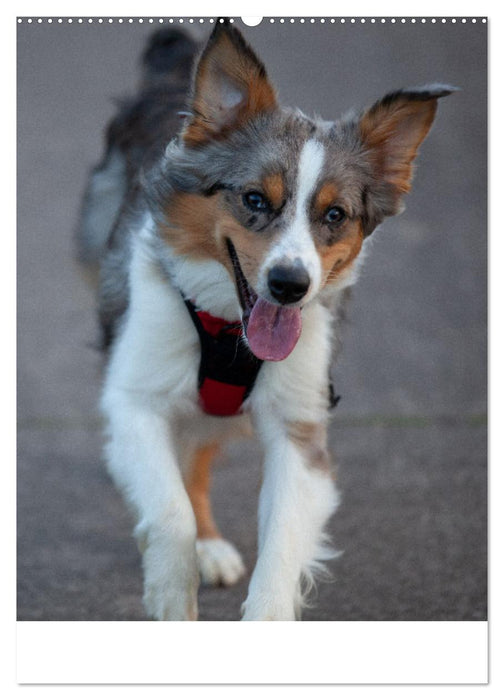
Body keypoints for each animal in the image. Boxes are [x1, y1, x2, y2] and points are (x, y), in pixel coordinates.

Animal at [77, 19, 454, 620]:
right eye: (254, 199)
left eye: (335, 214)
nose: (289, 284)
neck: (229, 330)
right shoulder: (135, 397)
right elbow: (169, 511)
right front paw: (171, 593)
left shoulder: (300, 425)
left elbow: (279, 549)